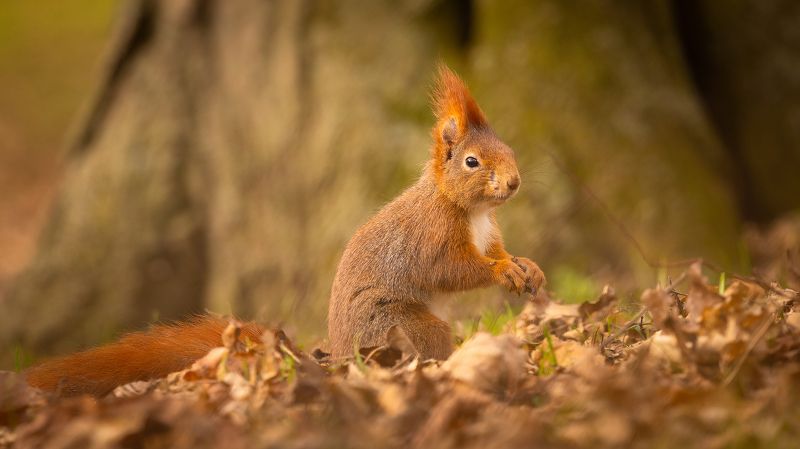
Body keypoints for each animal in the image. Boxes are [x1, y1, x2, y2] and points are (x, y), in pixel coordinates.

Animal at [24, 64, 545, 397]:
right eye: (472, 161)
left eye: (508, 147)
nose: (515, 181)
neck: (470, 209)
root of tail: (339, 358)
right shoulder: (431, 238)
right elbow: (452, 271)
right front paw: (501, 274)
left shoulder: (489, 233)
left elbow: (500, 252)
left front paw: (526, 267)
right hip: (396, 324)